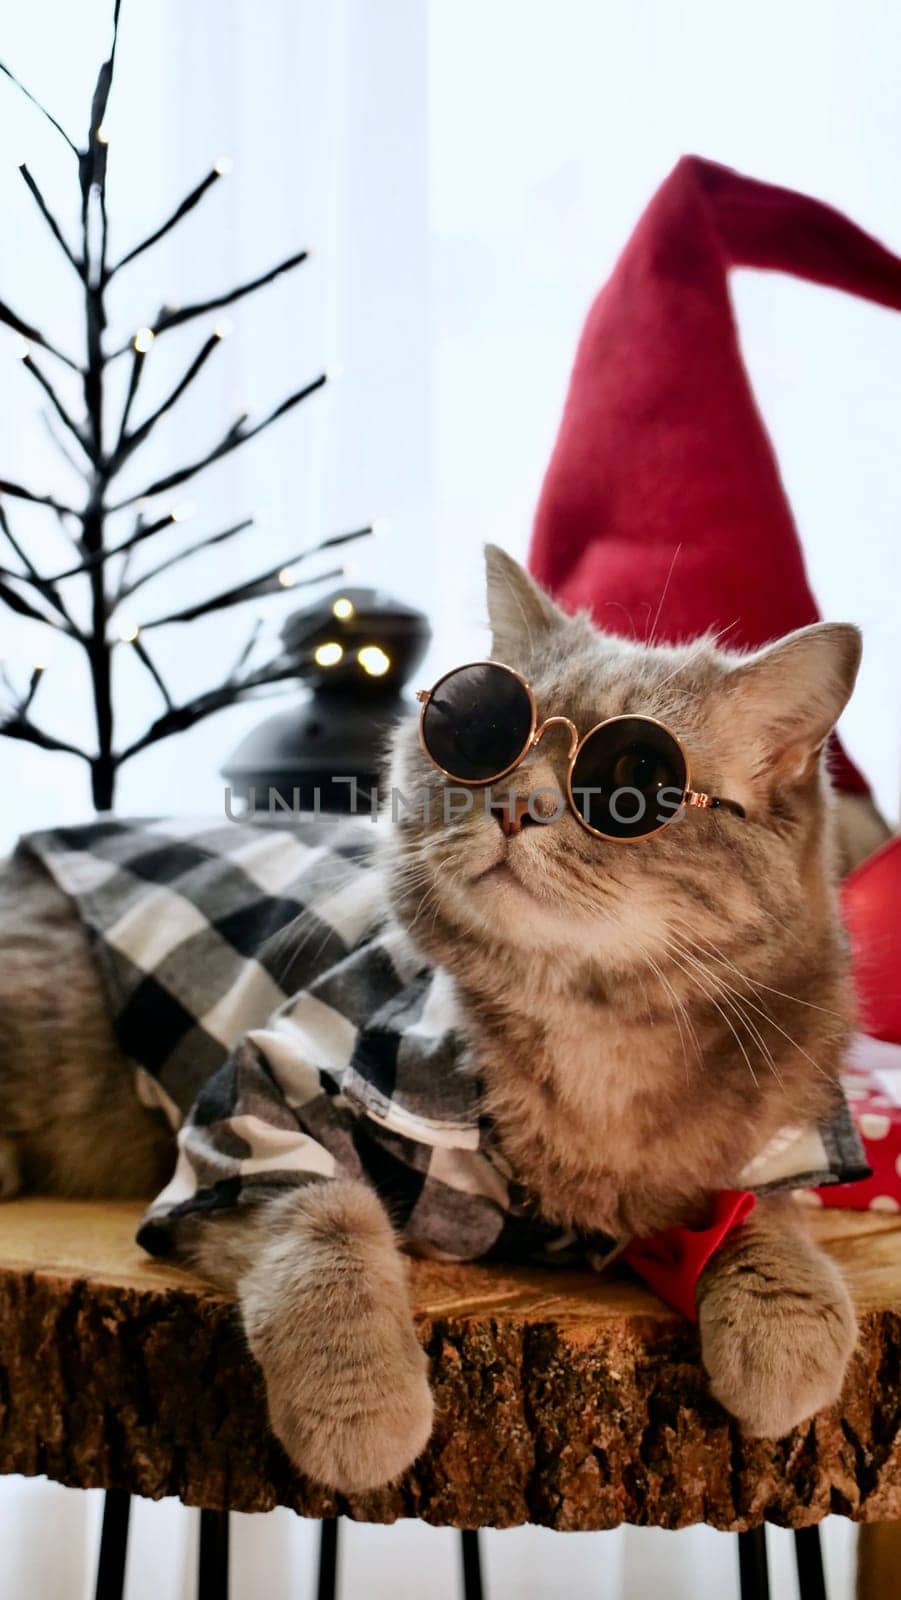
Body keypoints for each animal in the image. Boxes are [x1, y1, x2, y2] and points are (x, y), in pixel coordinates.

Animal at [0, 547, 889, 1484]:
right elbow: (326, 1221)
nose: (518, 804)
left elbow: (767, 1218)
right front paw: (361, 1405)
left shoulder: (773, 1143)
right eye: (480, 734)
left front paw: (787, 1323)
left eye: (640, 781)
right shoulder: (257, 1107)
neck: (592, 1039)